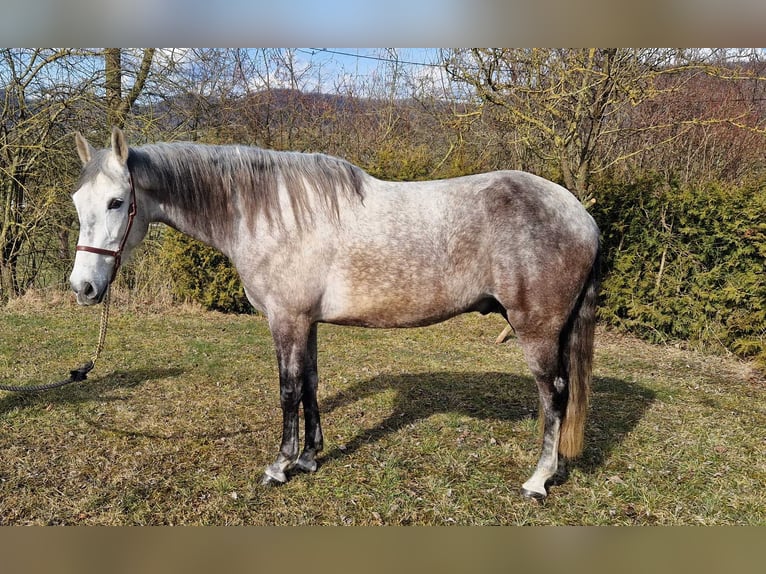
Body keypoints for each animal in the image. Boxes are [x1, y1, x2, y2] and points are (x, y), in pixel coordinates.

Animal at [70, 126, 600, 500]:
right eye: (78, 201)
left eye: (117, 201)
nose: (83, 287)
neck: (269, 214)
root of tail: (581, 215)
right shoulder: (306, 322)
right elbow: (310, 384)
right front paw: (309, 458)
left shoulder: (285, 319)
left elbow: (288, 391)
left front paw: (280, 466)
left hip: (537, 330)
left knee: (555, 394)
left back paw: (538, 480)